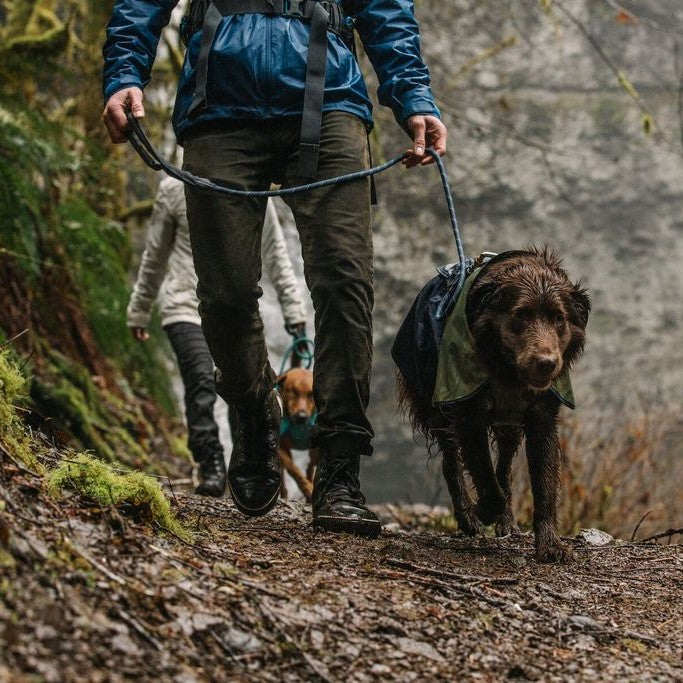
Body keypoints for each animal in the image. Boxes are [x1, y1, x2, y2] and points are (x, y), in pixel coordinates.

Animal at [276, 368, 320, 502]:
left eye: (311, 394)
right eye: (293, 392)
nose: (301, 416)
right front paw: (307, 489)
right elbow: (293, 470)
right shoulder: (281, 448)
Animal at [398, 248, 592, 564]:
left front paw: (550, 544)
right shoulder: (468, 415)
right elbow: (485, 479)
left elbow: (544, 485)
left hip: (508, 426)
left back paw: (507, 521)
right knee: (451, 460)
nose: (546, 363)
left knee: (504, 467)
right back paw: (467, 516)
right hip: (435, 404)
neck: (507, 371)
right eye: (520, 314)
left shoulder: (543, 420)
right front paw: (482, 510)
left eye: (558, 318)